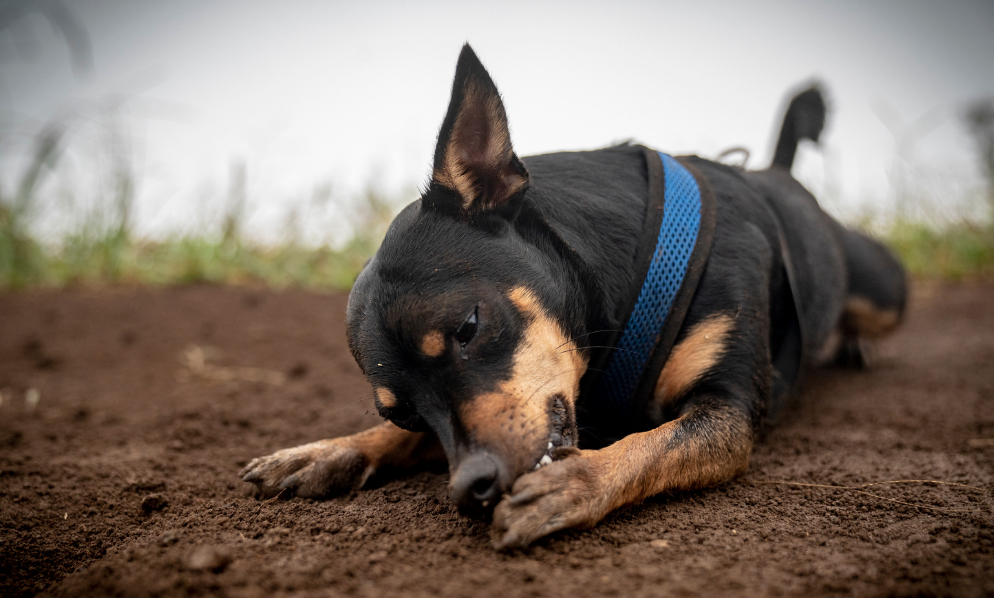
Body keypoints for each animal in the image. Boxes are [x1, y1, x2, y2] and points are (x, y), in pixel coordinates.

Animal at [240, 44, 908, 552]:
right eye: (401, 413)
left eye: (469, 327)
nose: (471, 487)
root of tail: (775, 172)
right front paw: (329, 450)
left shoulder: (728, 412)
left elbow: (646, 445)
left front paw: (577, 481)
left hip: (884, 291)